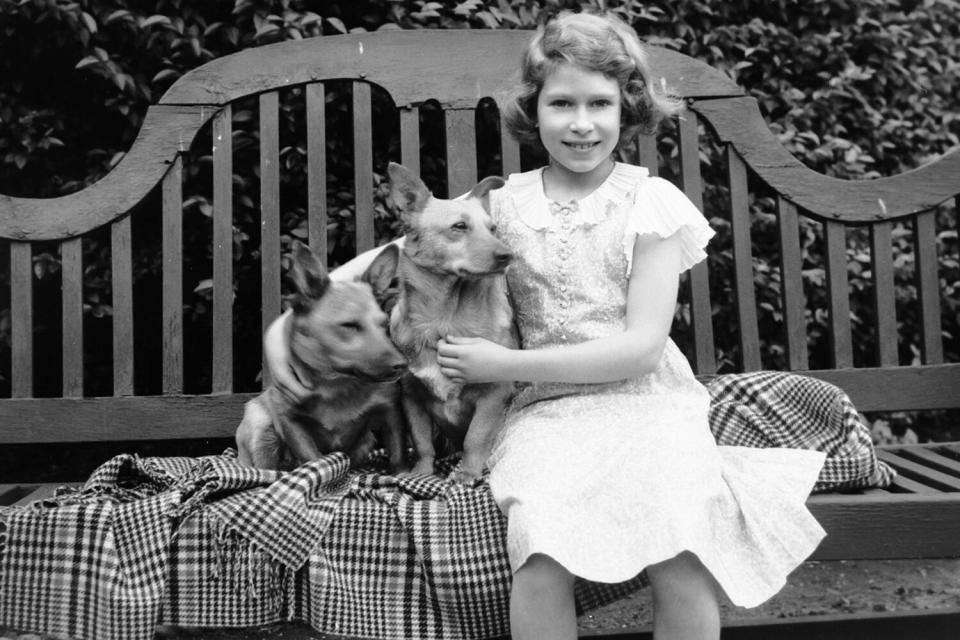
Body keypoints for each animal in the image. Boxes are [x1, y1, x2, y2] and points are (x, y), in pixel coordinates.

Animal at [238, 242, 410, 472]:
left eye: (385, 325)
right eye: (349, 325)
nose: (403, 364)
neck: (336, 385)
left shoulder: (391, 411)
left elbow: (398, 452)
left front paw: (403, 474)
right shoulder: (289, 420)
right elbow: (314, 459)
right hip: (260, 426)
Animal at [386, 162, 516, 482]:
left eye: (493, 229)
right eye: (459, 227)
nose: (507, 255)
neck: (445, 318)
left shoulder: (494, 394)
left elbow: (475, 438)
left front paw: (467, 473)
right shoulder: (411, 397)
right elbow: (421, 441)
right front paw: (421, 473)